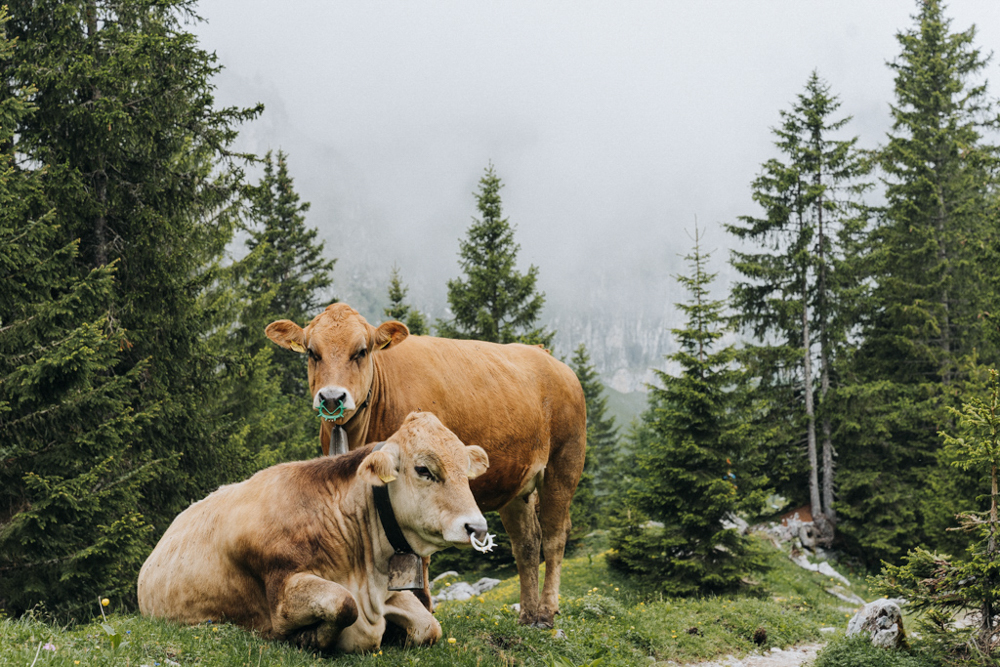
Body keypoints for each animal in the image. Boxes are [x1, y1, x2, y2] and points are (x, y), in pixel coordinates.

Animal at [137, 412, 490, 653]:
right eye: (423, 469)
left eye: (465, 471)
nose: (478, 527)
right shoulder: (282, 591)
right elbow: (343, 604)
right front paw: (307, 638)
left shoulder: (386, 593)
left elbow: (430, 626)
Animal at [265, 303, 587, 628]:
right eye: (311, 352)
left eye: (361, 351)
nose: (332, 397)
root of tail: (545, 355)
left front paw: (421, 607)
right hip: (516, 485)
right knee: (526, 542)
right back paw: (527, 614)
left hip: (564, 463)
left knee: (554, 536)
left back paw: (546, 612)